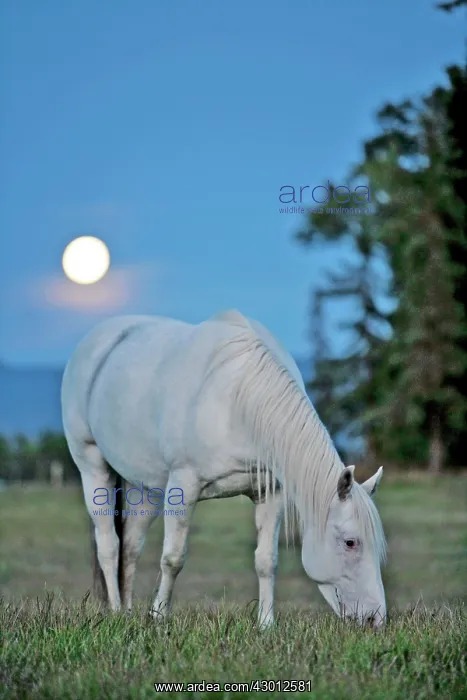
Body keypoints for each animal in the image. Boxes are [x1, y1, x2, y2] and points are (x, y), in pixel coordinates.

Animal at [61, 309, 387, 628]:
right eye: (350, 542)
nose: (375, 619)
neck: (237, 401)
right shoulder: (183, 486)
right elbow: (172, 558)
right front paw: (159, 618)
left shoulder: (272, 493)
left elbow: (266, 560)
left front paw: (266, 626)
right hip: (92, 467)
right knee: (109, 545)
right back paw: (117, 612)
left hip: (145, 488)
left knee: (129, 548)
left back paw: (128, 614)